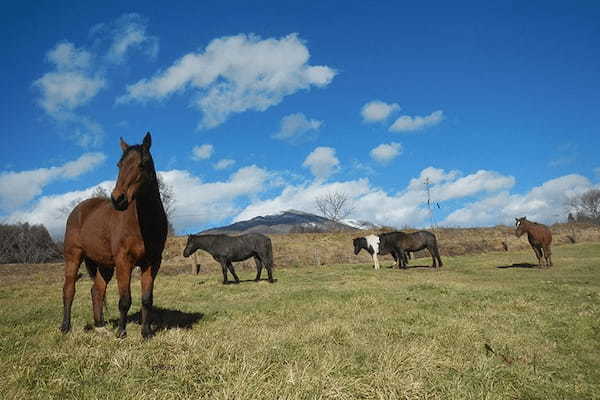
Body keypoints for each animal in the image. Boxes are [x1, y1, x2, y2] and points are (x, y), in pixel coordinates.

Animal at [61, 133, 168, 340]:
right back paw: (65, 327)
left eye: (142, 164)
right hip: (73, 256)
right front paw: (121, 332)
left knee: (97, 290)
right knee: (69, 289)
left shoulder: (152, 262)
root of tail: (78, 210)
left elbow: (146, 299)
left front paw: (146, 333)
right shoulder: (123, 261)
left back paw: (100, 325)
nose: (118, 199)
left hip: (104, 265)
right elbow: (125, 300)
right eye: (119, 165)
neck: (144, 223)